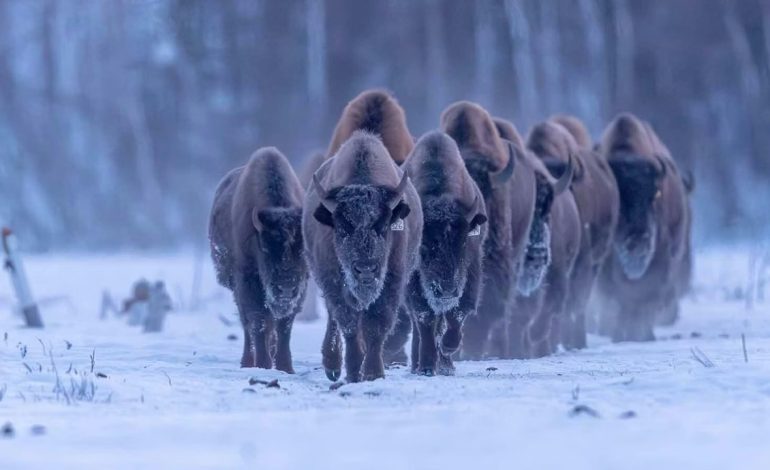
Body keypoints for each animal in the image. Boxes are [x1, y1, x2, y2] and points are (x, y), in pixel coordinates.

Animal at [209, 147, 308, 372]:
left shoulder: (300, 288)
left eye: (302, 248)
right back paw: (247, 362)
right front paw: (263, 364)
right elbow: (258, 322)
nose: (286, 288)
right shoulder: (248, 280)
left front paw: (285, 368)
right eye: (265, 248)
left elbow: (284, 326)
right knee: (248, 324)